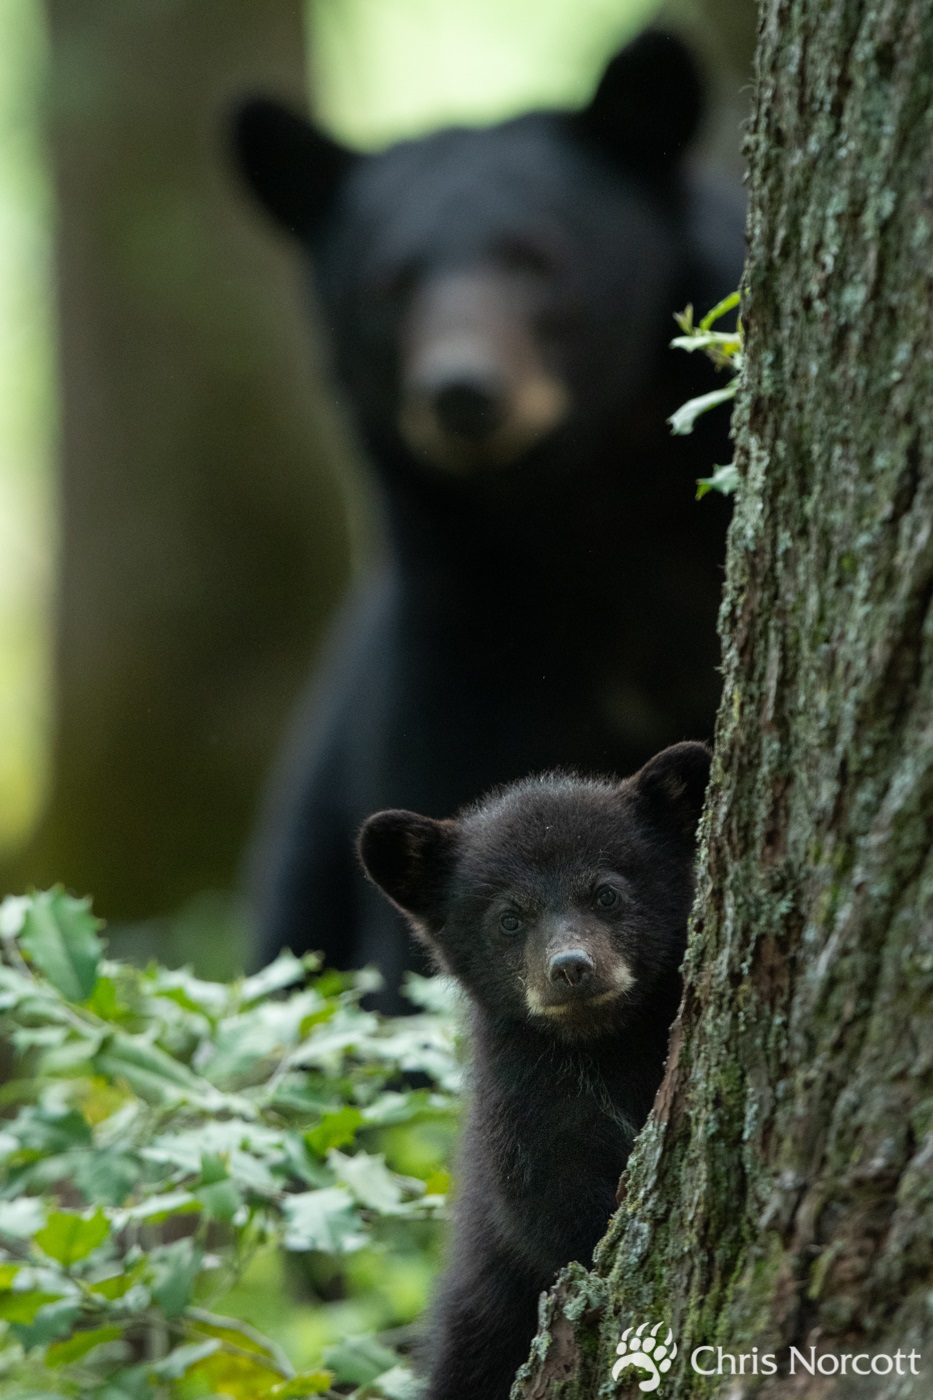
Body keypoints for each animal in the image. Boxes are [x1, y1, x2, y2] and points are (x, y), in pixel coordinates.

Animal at [355, 739, 706, 1394]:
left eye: (606, 892)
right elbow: (546, 1198)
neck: (604, 1044)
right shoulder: (523, 1096)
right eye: (509, 918)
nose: (570, 967)